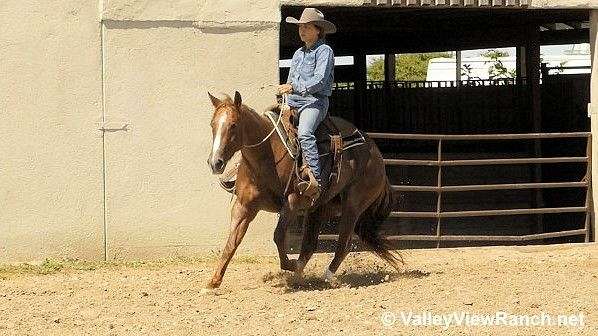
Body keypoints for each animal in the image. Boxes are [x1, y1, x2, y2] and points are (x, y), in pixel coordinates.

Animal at [206, 91, 404, 288]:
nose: (215, 163)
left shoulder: (292, 203)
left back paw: (326, 277)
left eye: (233, 125)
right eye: (212, 124)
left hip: (353, 206)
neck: (268, 154)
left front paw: (290, 264)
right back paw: (299, 276)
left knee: (343, 244)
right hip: (318, 207)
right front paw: (214, 281)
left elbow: (278, 236)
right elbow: (232, 241)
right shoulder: (243, 206)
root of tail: (376, 155)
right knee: (310, 245)